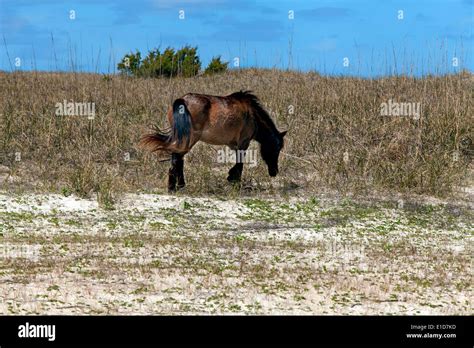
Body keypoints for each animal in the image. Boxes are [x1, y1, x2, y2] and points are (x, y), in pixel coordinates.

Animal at [139, 90, 286, 193]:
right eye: (276, 149)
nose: (274, 172)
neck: (252, 115)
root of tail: (183, 100)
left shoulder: (235, 145)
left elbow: (238, 163)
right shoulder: (243, 143)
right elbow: (240, 164)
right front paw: (234, 181)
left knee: (178, 159)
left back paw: (179, 186)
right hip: (190, 139)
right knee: (177, 159)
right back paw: (173, 187)